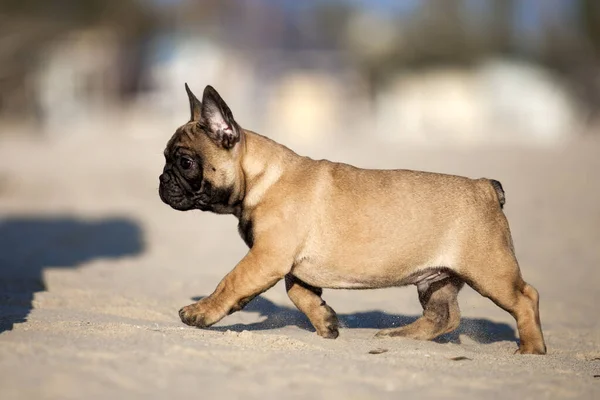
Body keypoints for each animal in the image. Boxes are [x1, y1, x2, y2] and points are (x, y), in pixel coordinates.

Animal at [159, 83, 548, 354]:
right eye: (166, 158)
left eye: (185, 162)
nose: (162, 180)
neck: (261, 176)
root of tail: (486, 187)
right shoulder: (287, 262)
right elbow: (299, 293)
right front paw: (326, 321)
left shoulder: (266, 258)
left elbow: (231, 282)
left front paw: (200, 312)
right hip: (436, 278)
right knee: (445, 316)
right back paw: (398, 335)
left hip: (489, 270)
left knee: (525, 298)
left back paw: (530, 348)